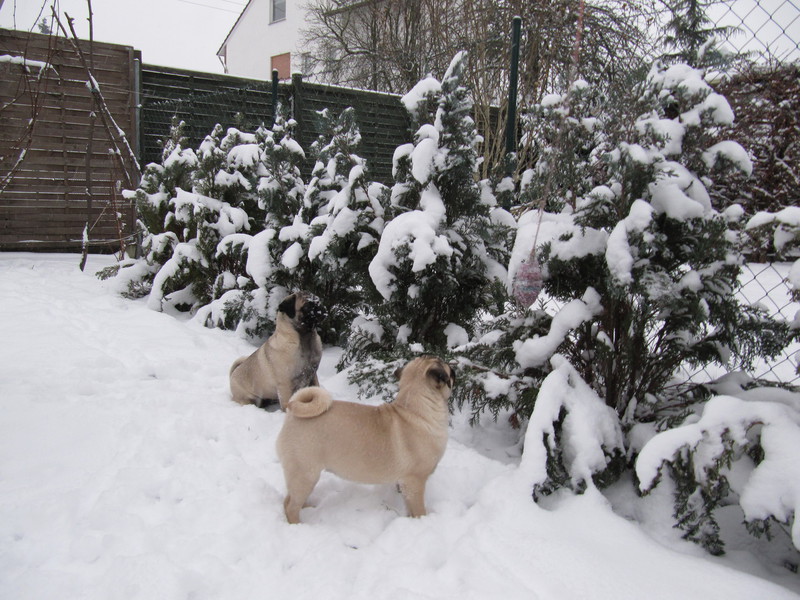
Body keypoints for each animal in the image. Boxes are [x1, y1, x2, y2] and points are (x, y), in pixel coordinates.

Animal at [276, 355, 456, 524]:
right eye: (444, 364)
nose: (453, 366)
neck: (413, 409)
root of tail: (292, 415)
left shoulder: (405, 484)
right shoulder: (415, 482)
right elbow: (418, 509)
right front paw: (421, 520)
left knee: (290, 499)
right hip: (306, 474)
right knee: (290, 505)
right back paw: (298, 524)